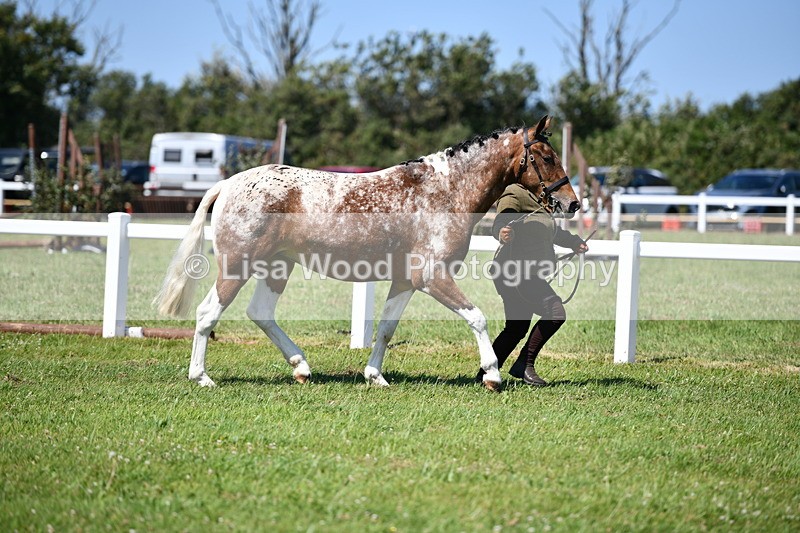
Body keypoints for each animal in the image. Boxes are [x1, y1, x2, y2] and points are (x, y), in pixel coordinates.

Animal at [154, 115, 579, 391]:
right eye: (545, 157)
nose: (571, 203)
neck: (445, 191)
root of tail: (227, 184)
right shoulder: (432, 277)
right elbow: (477, 317)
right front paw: (491, 375)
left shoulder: (406, 280)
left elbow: (387, 328)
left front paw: (375, 376)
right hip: (237, 267)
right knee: (208, 313)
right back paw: (202, 377)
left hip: (277, 267)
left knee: (260, 313)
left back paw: (302, 368)